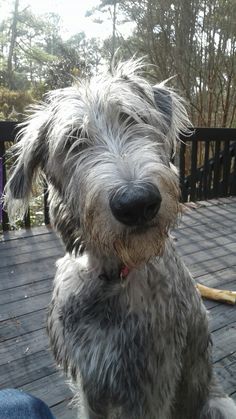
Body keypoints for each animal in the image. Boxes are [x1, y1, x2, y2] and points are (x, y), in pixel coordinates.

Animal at [3, 60, 236, 419]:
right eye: (73, 141)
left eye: (134, 118)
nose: (137, 203)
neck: (112, 277)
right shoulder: (90, 381)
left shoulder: (150, 385)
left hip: (218, 403)